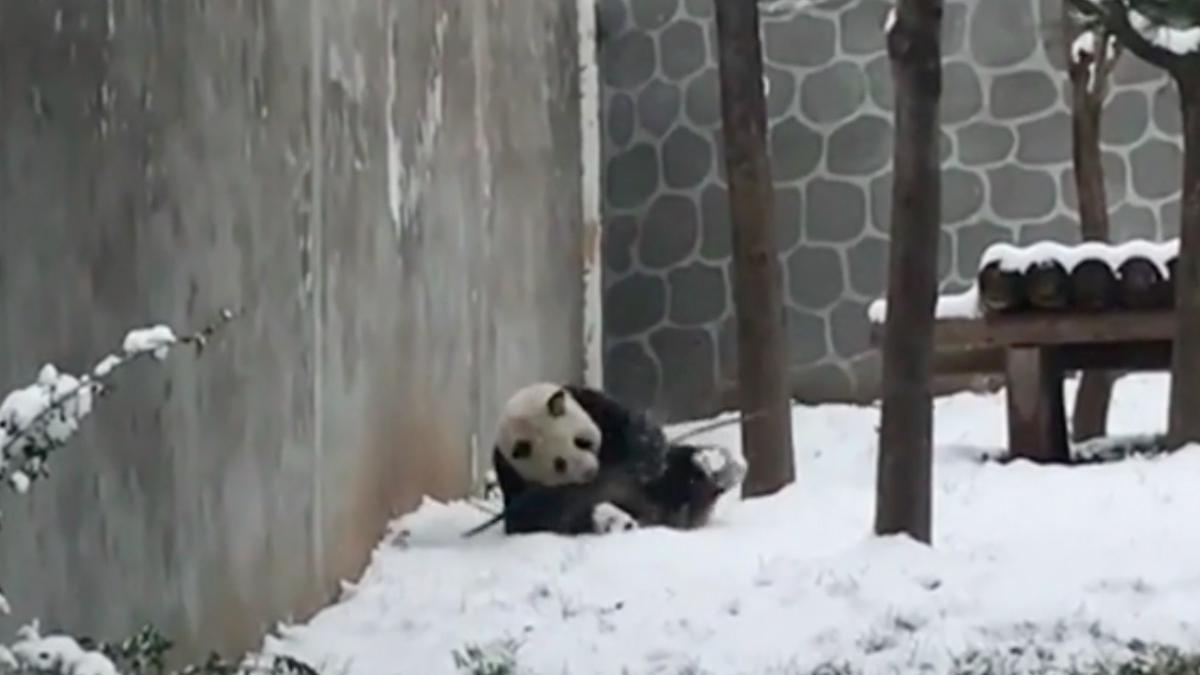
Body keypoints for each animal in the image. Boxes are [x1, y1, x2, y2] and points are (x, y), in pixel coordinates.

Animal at [478, 381, 746, 537]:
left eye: (581, 442)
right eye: (559, 464)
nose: (590, 472)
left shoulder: (589, 404)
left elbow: (636, 432)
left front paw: (645, 452)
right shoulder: (511, 474)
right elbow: (531, 517)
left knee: (680, 472)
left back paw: (713, 465)